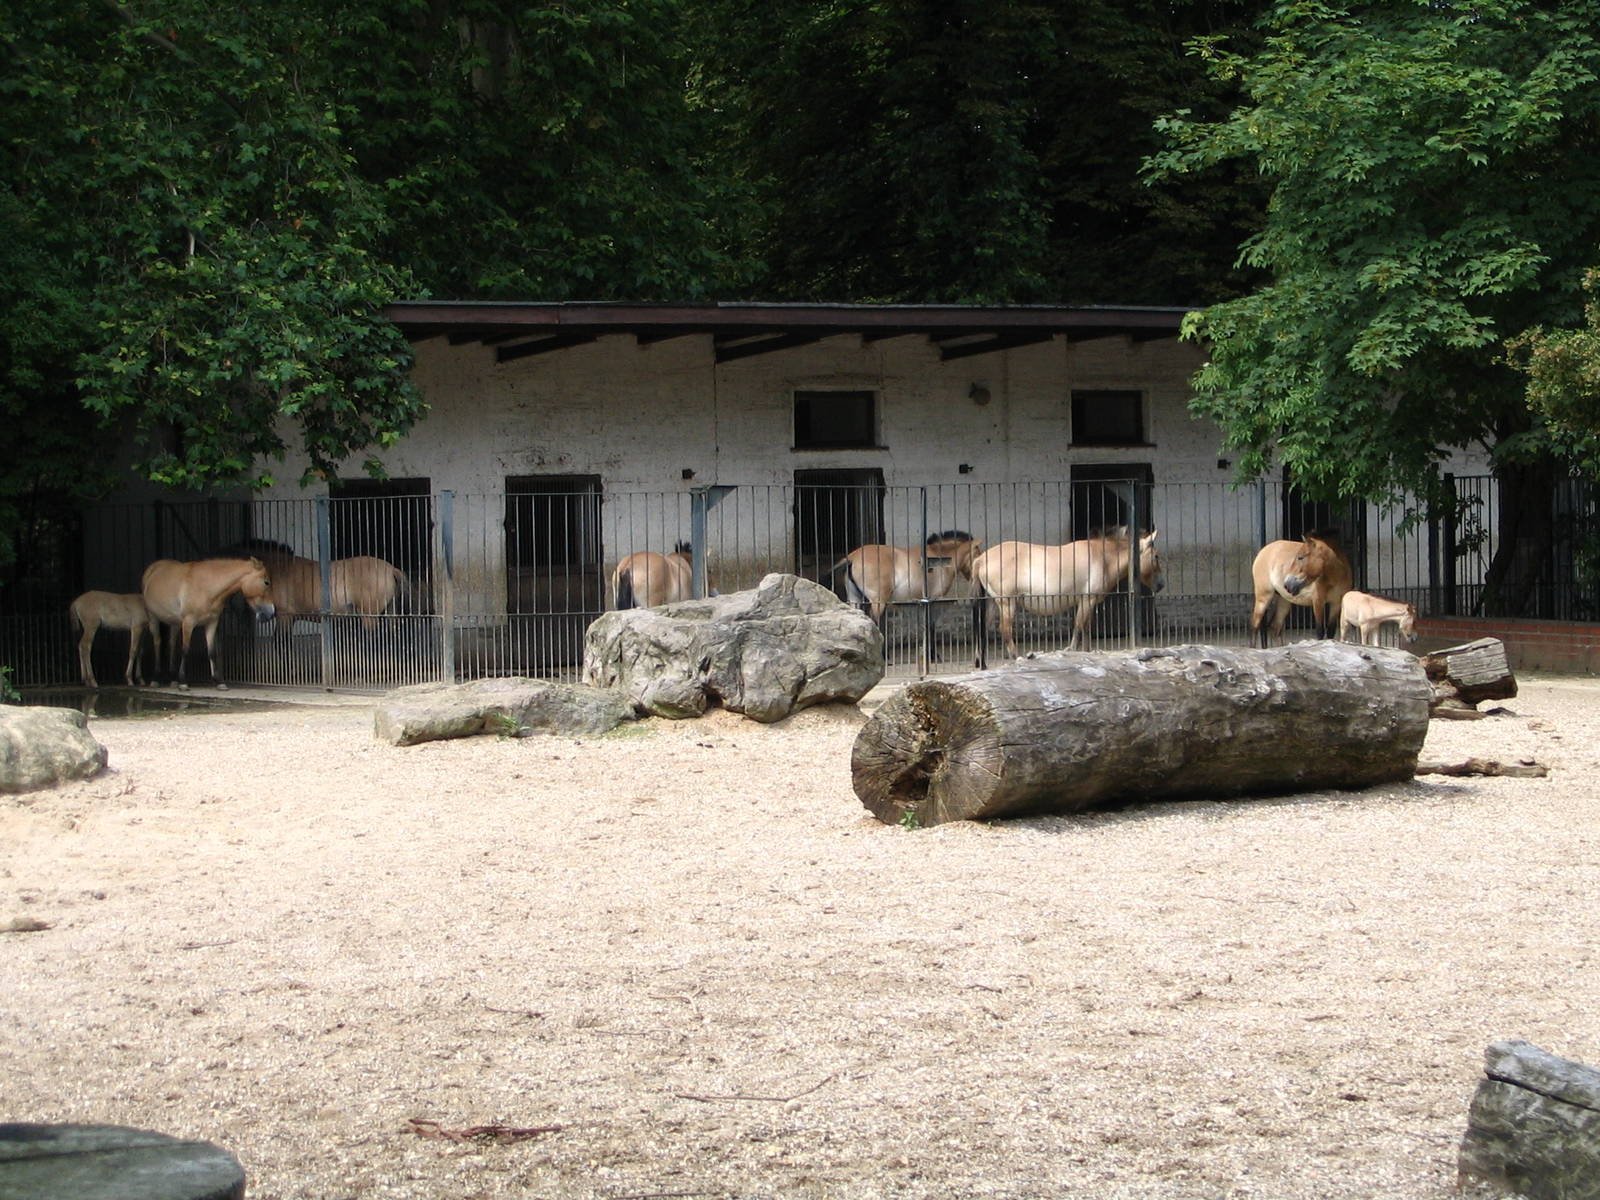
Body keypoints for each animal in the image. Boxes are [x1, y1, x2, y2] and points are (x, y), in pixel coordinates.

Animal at [141, 557, 276, 689]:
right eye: (266, 582)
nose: (272, 612)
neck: (206, 586)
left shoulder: (211, 623)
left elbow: (211, 651)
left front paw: (218, 681)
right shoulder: (188, 622)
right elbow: (185, 649)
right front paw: (183, 681)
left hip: (174, 623)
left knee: (171, 644)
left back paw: (173, 679)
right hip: (153, 618)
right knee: (157, 643)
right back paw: (156, 678)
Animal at [830, 531, 980, 626]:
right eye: (978, 554)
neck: (939, 557)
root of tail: (852, 557)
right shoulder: (933, 599)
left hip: (855, 599)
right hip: (878, 601)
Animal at [965, 528, 1164, 665]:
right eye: (1156, 556)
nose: (1161, 585)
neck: (1102, 557)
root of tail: (981, 559)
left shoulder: (1086, 602)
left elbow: (1085, 628)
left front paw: (1086, 652)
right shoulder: (1087, 599)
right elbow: (1079, 626)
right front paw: (1072, 650)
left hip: (993, 602)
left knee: (983, 627)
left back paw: (980, 662)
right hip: (1007, 603)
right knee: (1004, 629)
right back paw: (1017, 657)